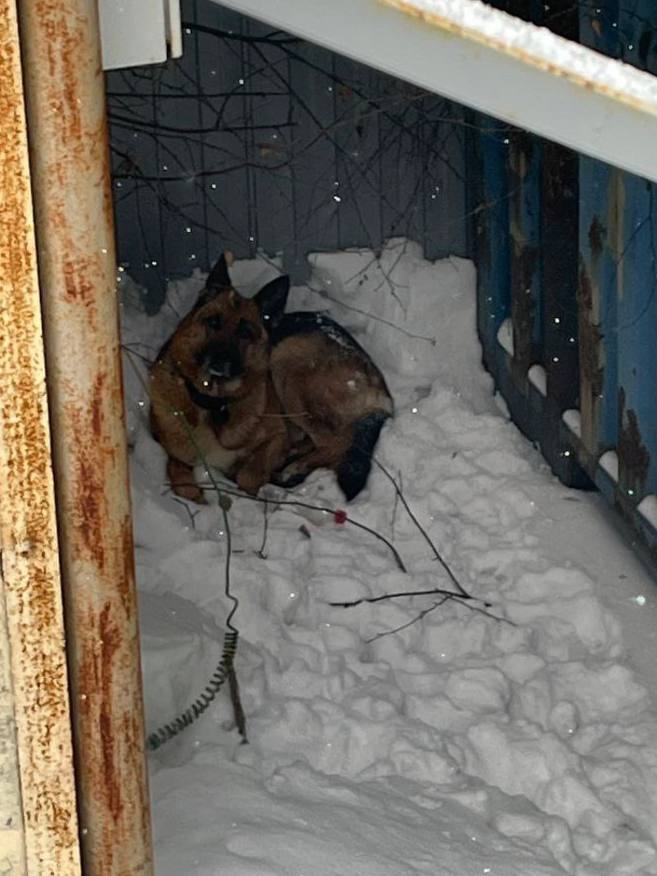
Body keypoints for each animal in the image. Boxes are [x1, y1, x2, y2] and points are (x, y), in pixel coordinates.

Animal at [149, 252, 393, 502]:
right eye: (213, 322)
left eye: (245, 332)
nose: (220, 361)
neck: (215, 403)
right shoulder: (172, 450)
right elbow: (179, 478)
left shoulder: (276, 436)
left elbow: (248, 475)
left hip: (285, 359)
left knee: (336, 442)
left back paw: (293, 469)